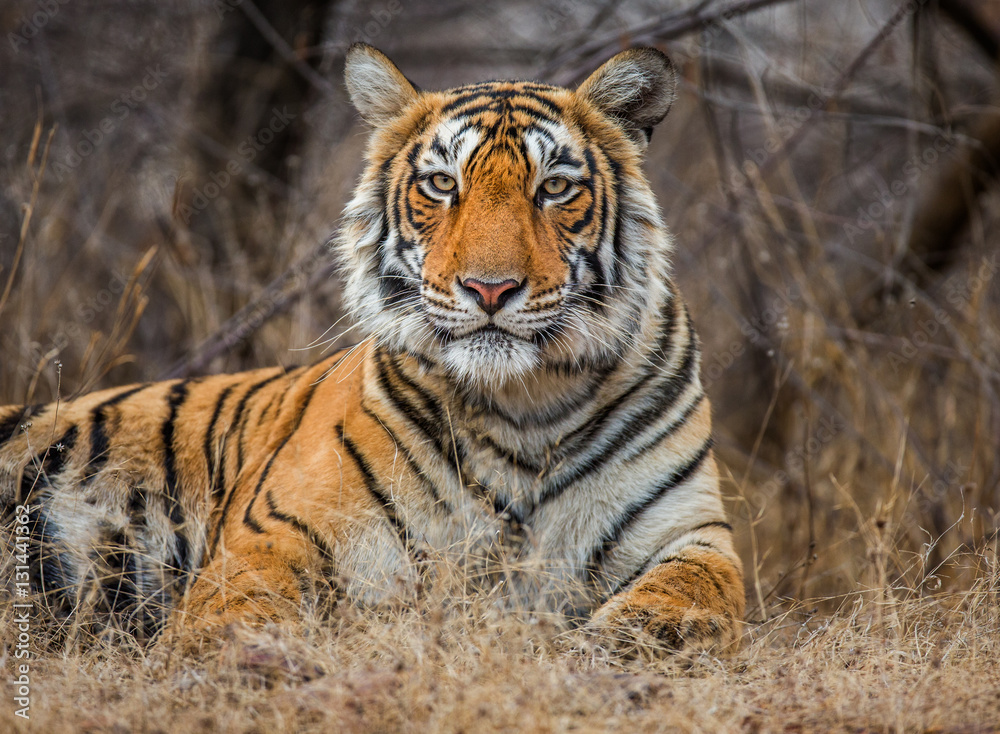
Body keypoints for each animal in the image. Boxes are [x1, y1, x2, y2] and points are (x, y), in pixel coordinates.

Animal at [0, 44, 745, 652]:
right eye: (442, 184)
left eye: (555, 187)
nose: (491, 288)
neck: (525, 406)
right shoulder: (275, 534)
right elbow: (238, 617)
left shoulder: (691, 532)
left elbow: (694, 594)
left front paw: (624, 641)